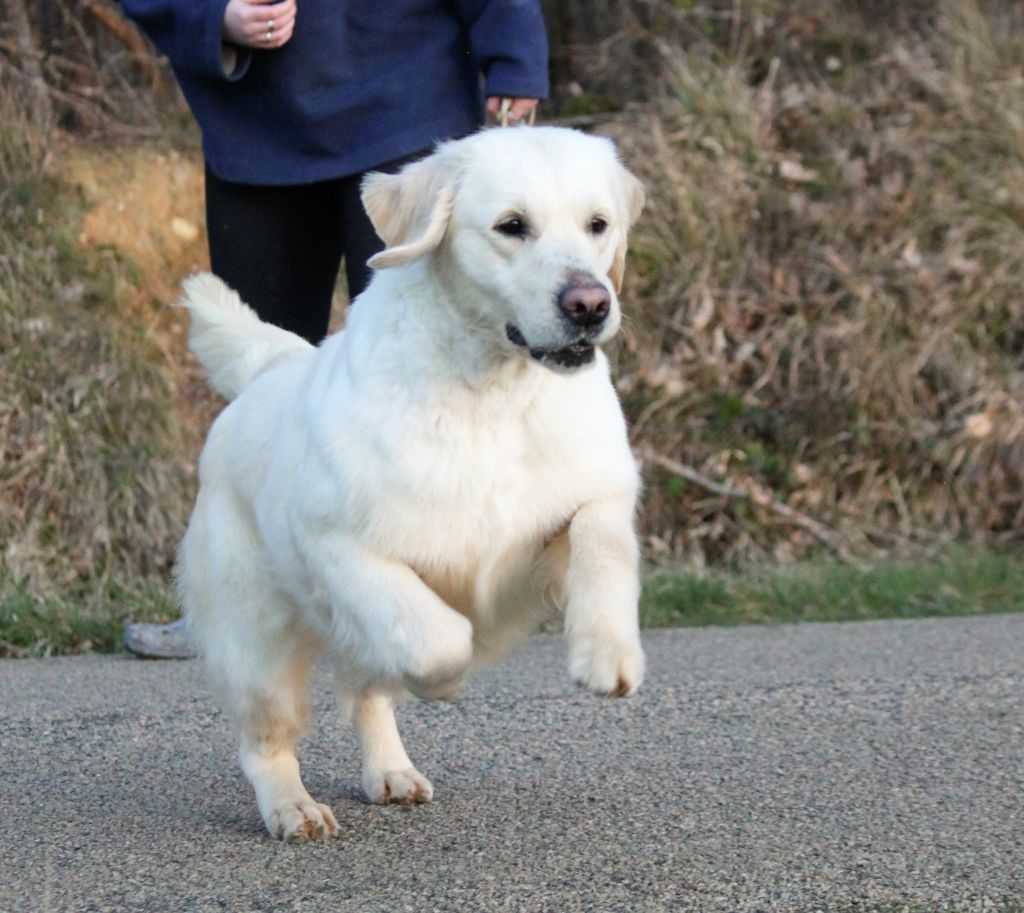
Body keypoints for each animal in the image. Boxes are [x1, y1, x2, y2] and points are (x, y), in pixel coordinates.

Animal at [173, 126, 643, 843]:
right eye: (512, 226)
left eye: (599, 224)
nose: (590, 304)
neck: (491, 394)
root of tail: (268, 371)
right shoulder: (342, 548)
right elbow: (437, 637)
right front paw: (446, 683)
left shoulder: (589, 498)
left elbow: (602, 546)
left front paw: (608, 653)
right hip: (255, 639)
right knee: (267, 738)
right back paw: (293, 808)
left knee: (368, 695)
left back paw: (391, 773)